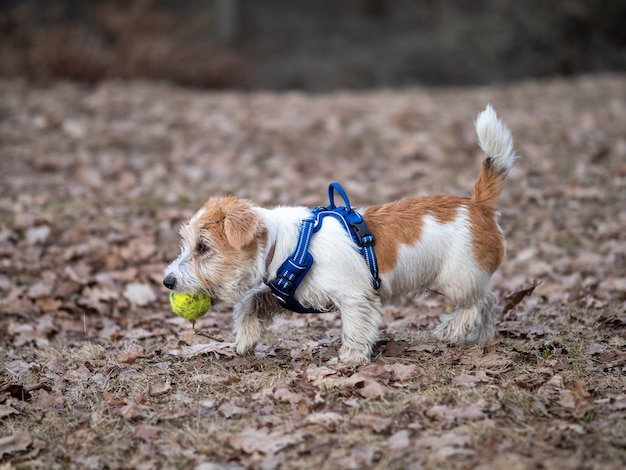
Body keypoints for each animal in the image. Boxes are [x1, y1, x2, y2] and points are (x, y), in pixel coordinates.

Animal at [163, 105, 516, 364]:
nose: (167, 281)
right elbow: (251, 304)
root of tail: (478, 204)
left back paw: (452, 331)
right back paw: (482, 337)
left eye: (203, 247)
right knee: (489, 303)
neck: (288, 246)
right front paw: (245, 339)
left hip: (457, 279)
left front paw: (350, 358)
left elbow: (356, 327)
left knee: (479, 301)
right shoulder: (281, 292)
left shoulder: (355, 296)